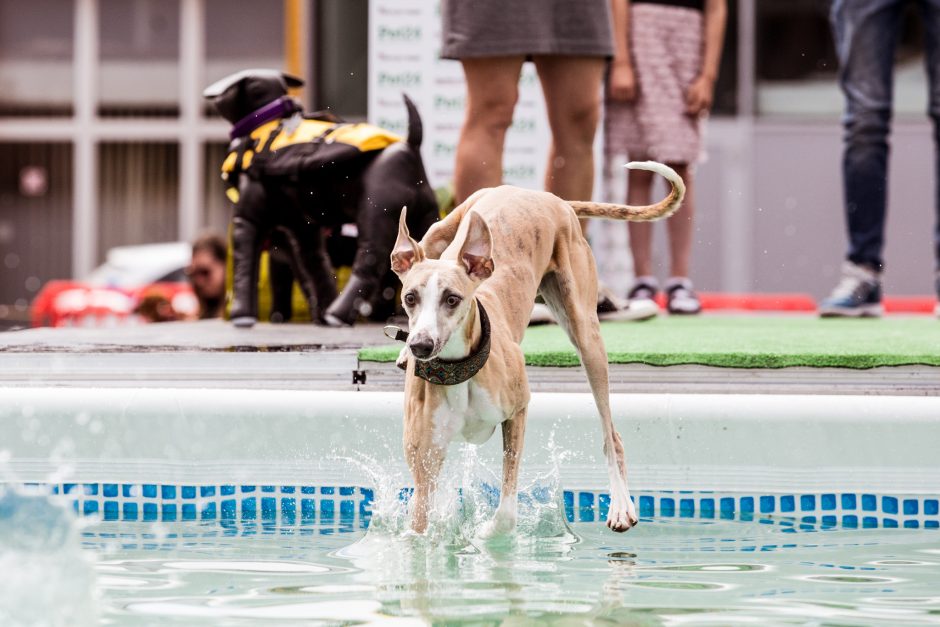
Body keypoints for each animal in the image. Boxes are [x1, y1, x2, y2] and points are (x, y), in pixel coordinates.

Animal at [204, 70, 438, 328]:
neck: (267, 122)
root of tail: (410, 146)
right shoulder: (302, 229)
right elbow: (316, 268)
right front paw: (321, 310)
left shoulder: (246, 221)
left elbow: (244, 265)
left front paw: (241, 315)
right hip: (426, 218)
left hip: (376, 215)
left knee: (370, 262)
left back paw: (338, 314)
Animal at [390, 161, 684, 536]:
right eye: (410, 298)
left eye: (452, 299)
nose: (420, 346)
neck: (459, 370)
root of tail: (545, 196)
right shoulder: (424, 461)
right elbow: (419, 524)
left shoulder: (518, 411)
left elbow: (506, 512)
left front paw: (485, 537)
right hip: (438, 231)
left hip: (586, 334)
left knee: (611, 434)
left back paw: (620, 506)